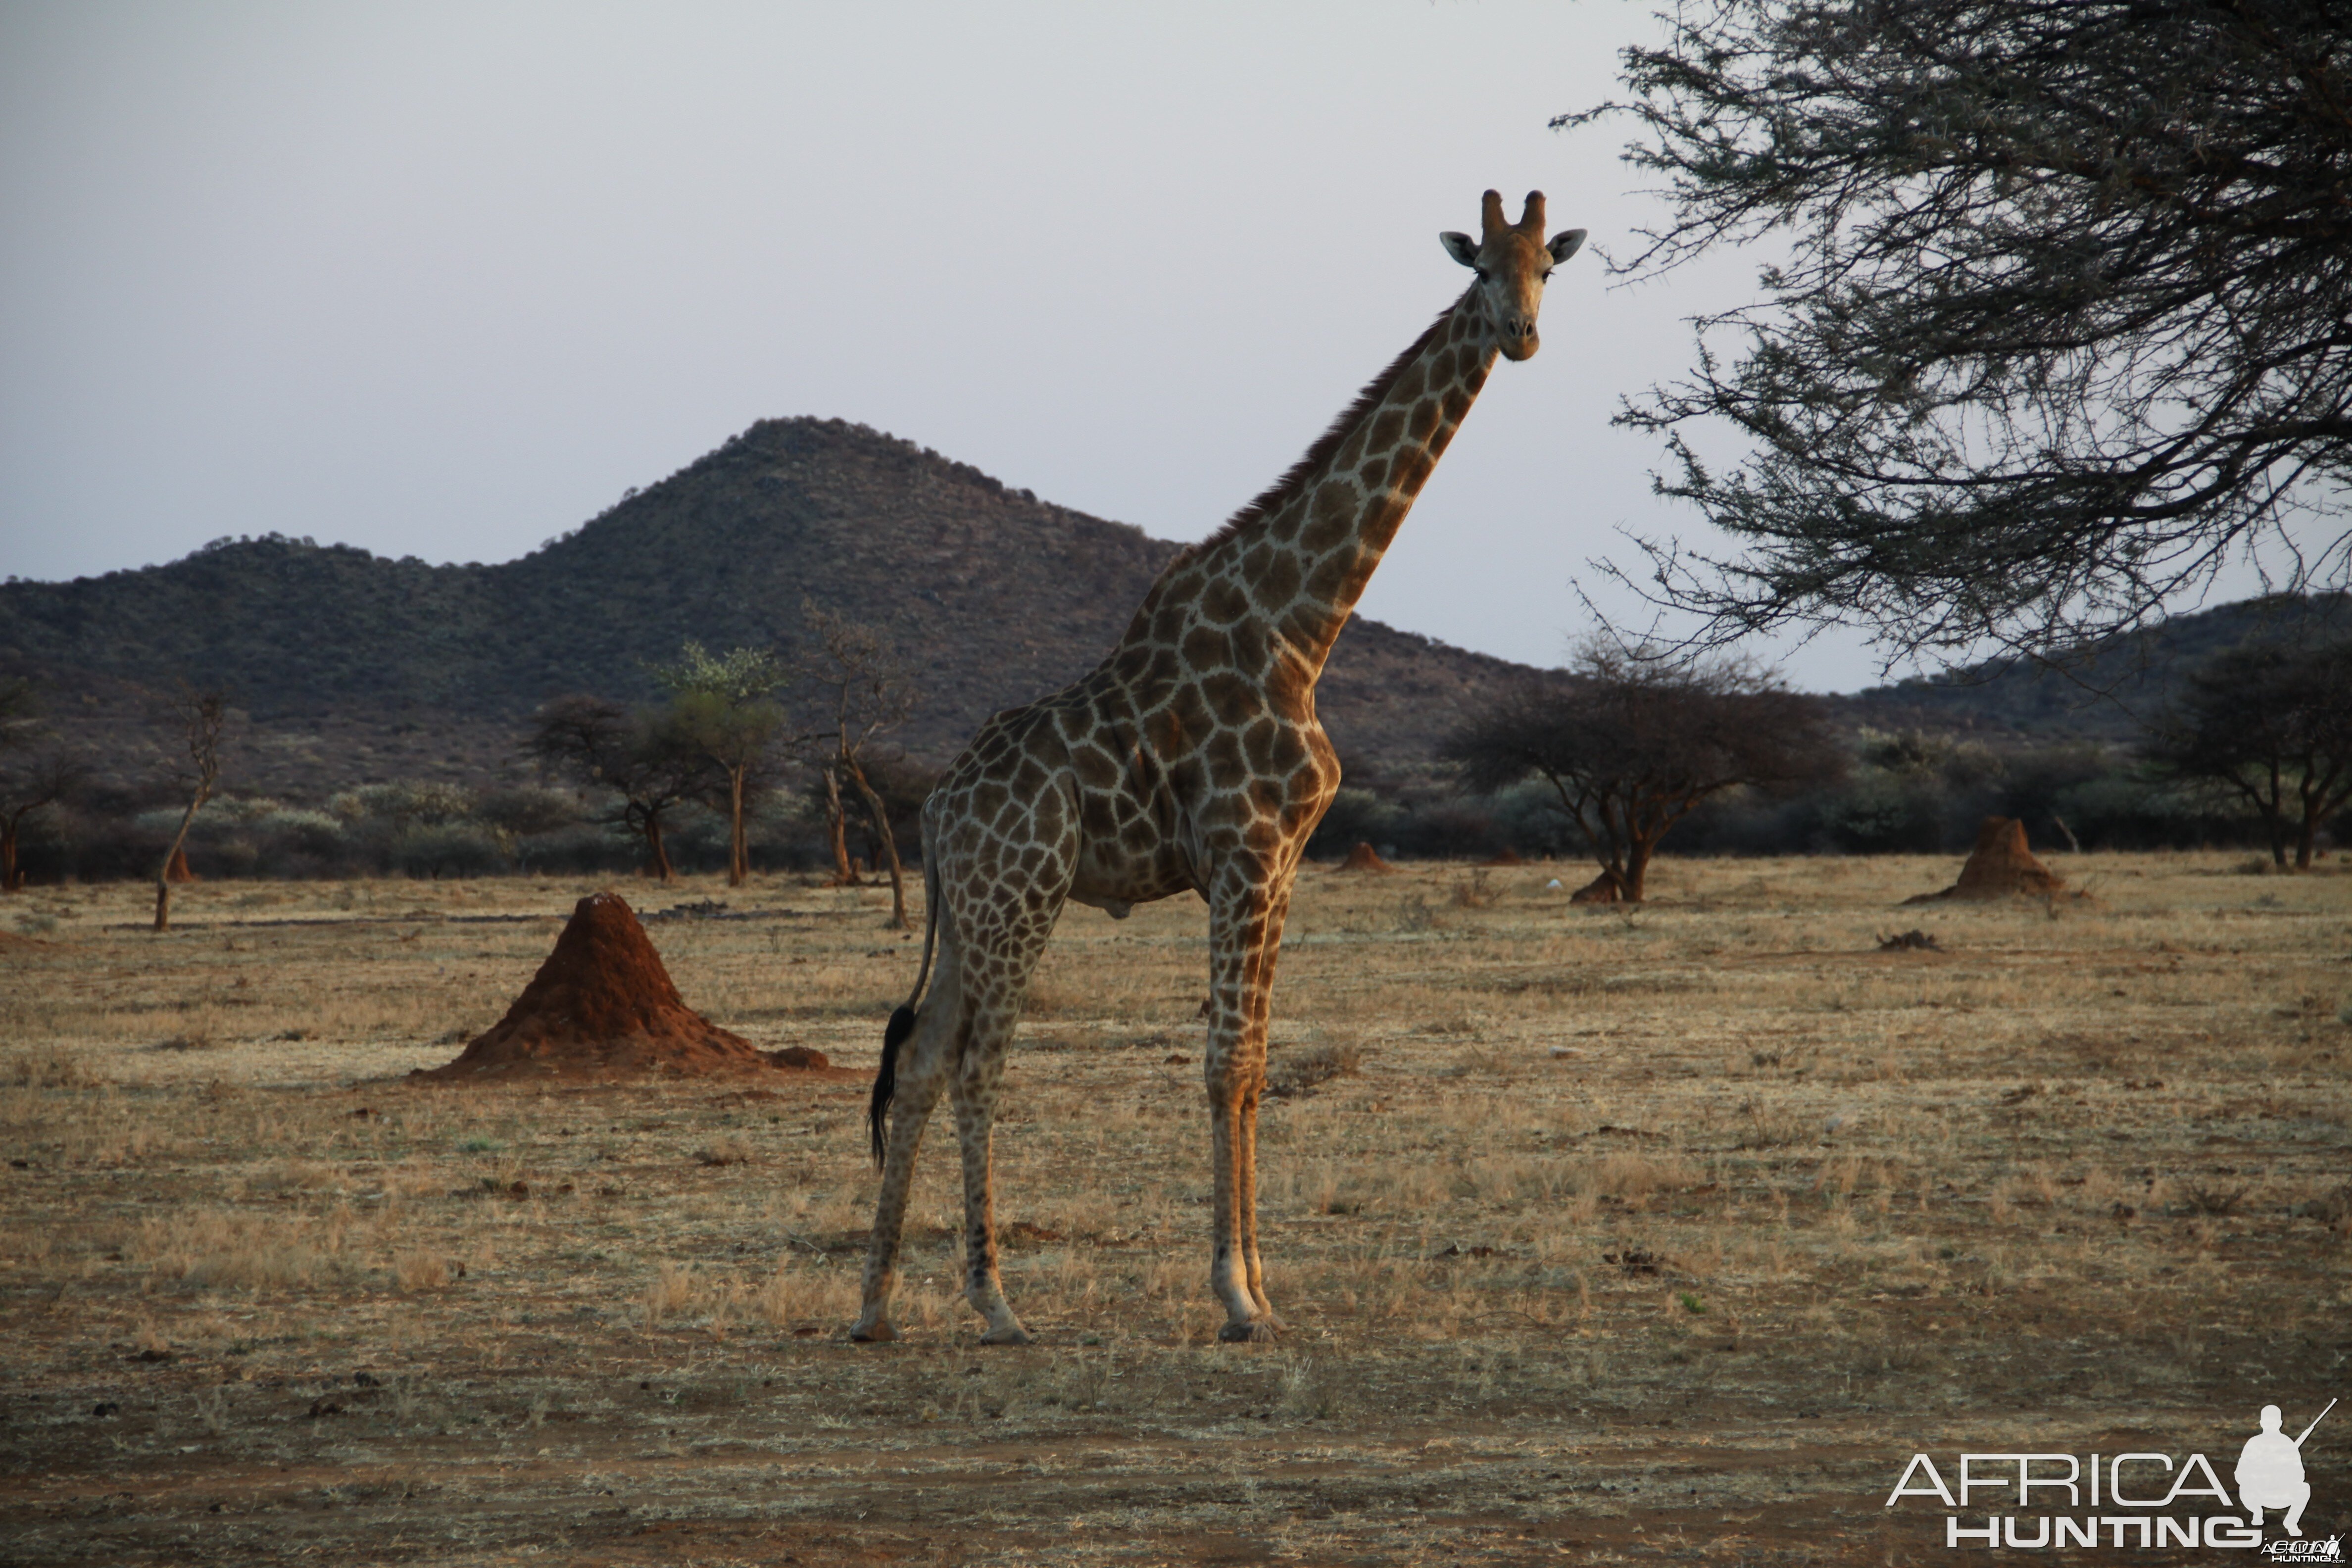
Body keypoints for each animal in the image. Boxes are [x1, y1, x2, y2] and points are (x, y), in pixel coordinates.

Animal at [846, 190, 1580, 1344]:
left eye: (1549, 266)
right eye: (1480, 270)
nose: (1522, 335)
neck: (1301, 627)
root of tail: (937, 808)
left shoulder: (1280, 866)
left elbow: (1254, 1065)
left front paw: (1263, 1288)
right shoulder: (1244, 852)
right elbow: (1225, 1062)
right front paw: (1235, 1295)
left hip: (966, 906)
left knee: (918, 1060)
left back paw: (876, 1305)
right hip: (1021, 897)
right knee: (975, 1063)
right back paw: (996, 1301)